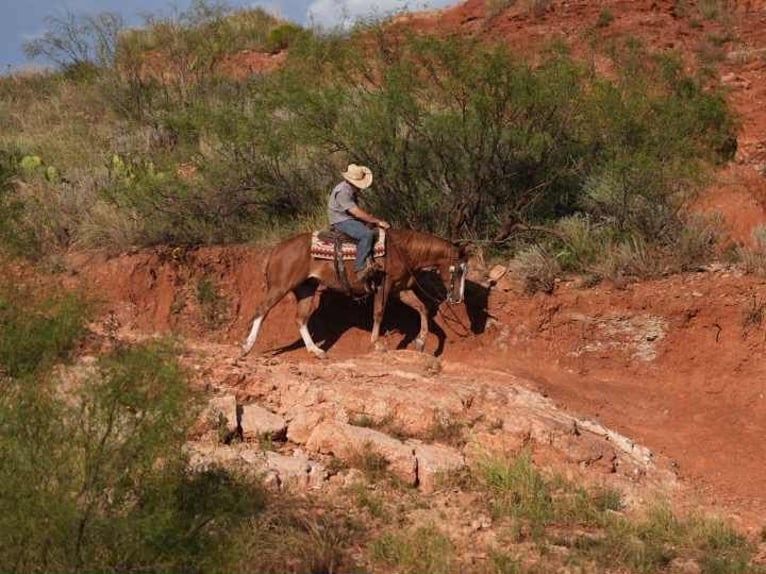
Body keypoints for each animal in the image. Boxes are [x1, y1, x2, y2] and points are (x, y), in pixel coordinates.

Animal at [240, 228, 470, 358]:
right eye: (458, 270)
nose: (458, 298)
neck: (403, 252)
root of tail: (276, 250)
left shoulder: (400, 290)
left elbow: (422, 308)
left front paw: (421, 342)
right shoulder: (384, 287)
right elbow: (378, 313)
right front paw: (377, 344)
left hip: (306, 288)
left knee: (300, 319)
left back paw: (316, 351)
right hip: (280, 286)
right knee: (261, 311)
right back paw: (246, 347)